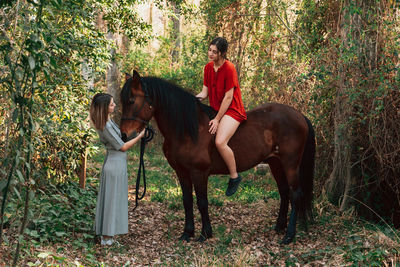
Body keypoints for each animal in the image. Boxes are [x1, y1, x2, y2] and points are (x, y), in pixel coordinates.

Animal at [119, 71, 316, 245]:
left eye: (131, 100)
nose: (124, 134)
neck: (189, 130)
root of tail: (299, 115)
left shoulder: (199, 173)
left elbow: (202, 202)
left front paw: (205, 234)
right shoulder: (182, 172)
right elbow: (187, 201)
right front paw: (187, 233)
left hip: (290, 164)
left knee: (295, 194)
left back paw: (289, 235)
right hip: (276, 163)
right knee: (284, 192)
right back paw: (279, 227)